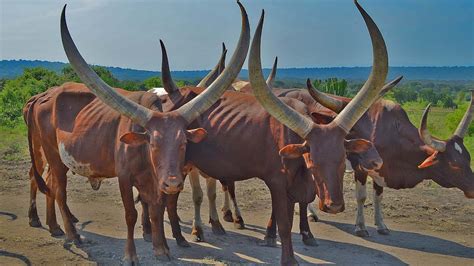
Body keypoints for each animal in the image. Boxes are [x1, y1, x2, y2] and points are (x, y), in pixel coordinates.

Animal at [25, 2, 250, 264]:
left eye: (183, 143)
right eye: (152, 143)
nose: (173, 182)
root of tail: (43, 95)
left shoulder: (156, 181)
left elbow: (156, 209)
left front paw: (162, 248)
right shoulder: (125, 177)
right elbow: (131, 213)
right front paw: (131, 255)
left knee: (49, 184)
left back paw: (55, 226)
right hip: (52, 155)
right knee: (57, 190)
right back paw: (71, 234)